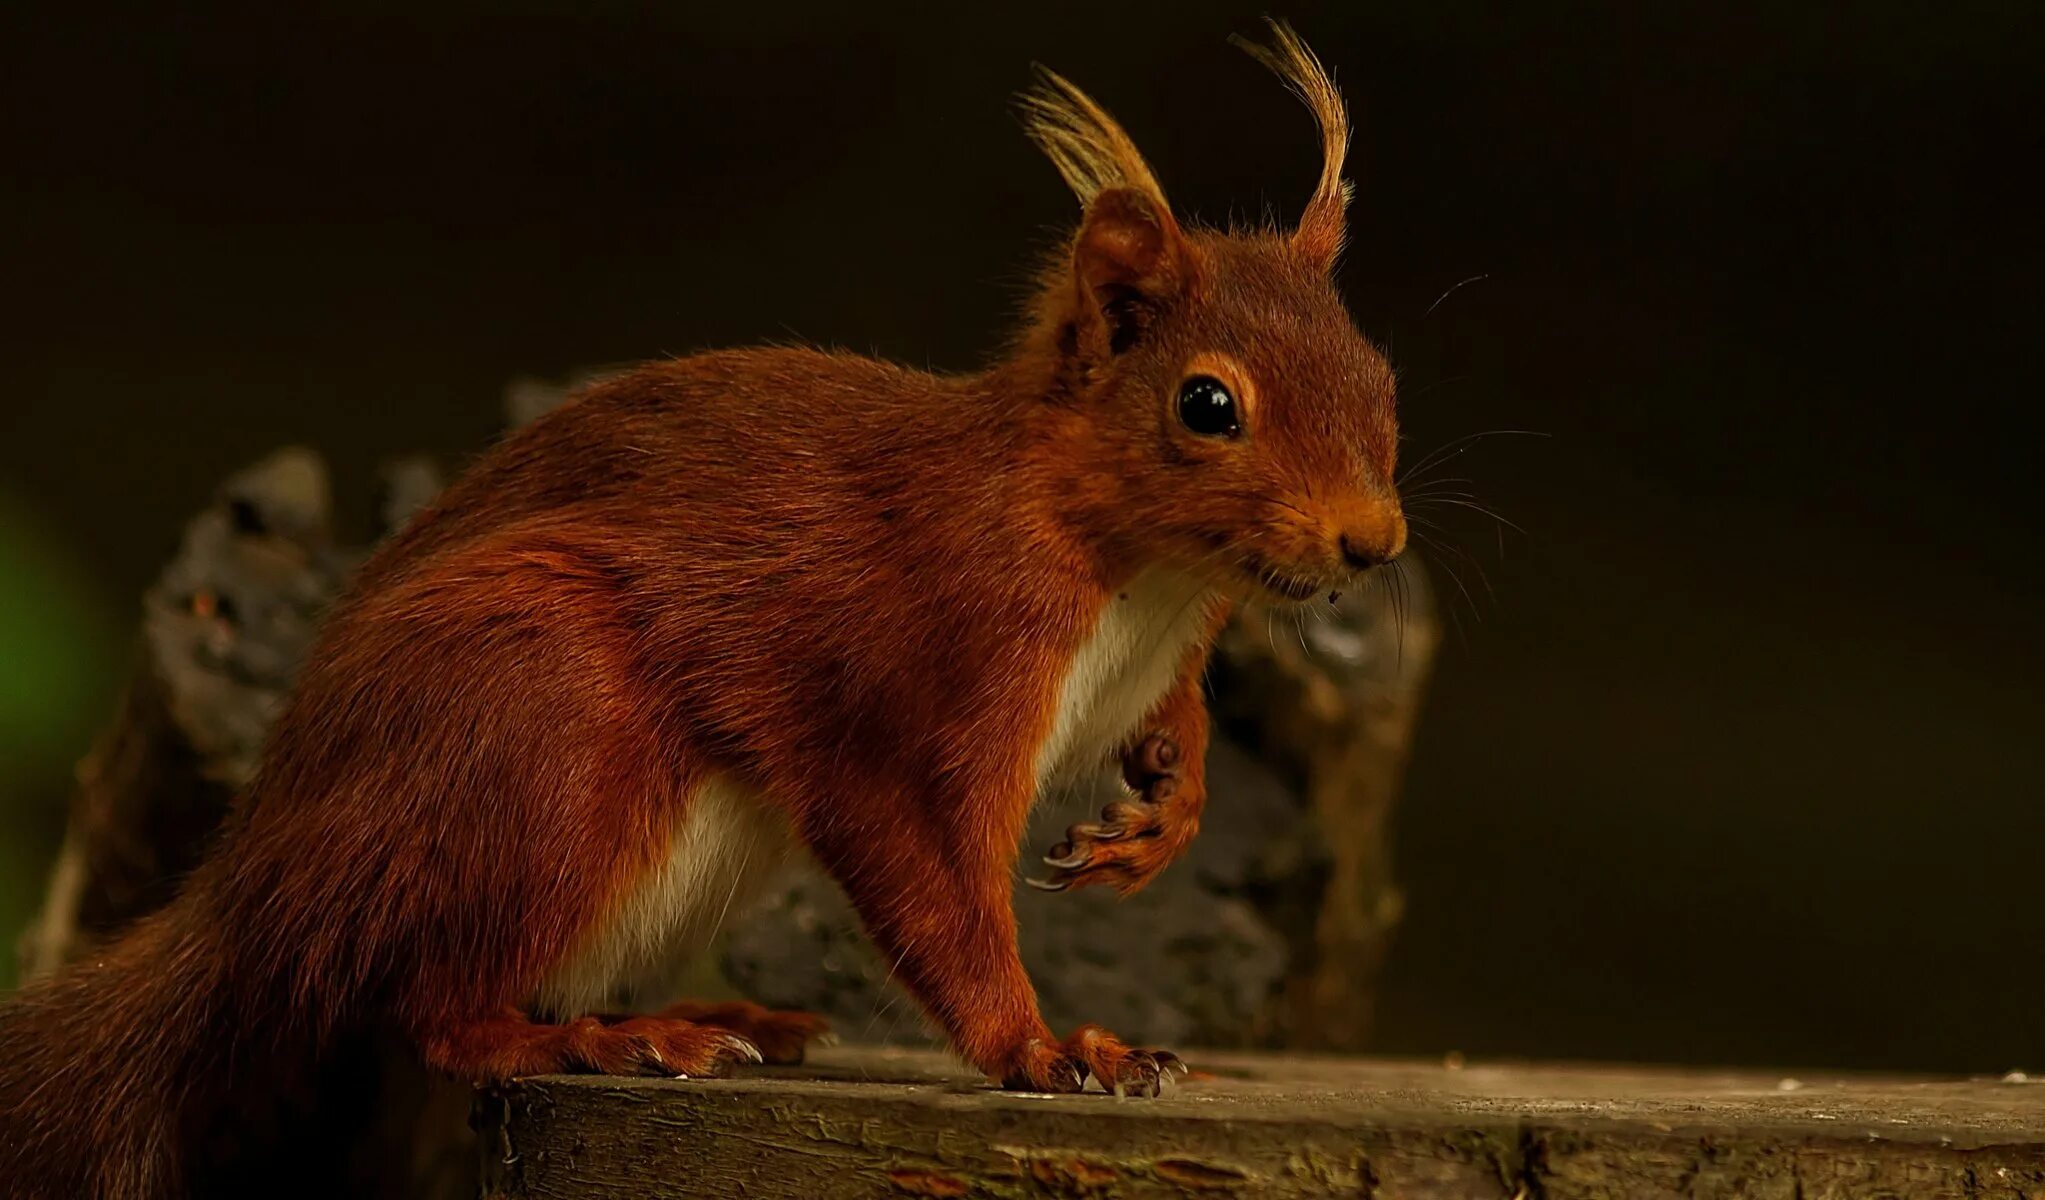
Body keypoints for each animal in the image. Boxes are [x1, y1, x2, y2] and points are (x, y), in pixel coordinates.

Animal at [0, 23, 1406, 1193]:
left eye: (1379, 375)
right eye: (1206, 405)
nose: (1373, 541)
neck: (1143, 577)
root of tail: (257, 886)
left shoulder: (1160, 649)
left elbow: (1176, 732)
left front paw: (1162, 815)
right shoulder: (923, 666)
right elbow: (930, 881)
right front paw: (1047, 1048)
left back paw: (715, 1019)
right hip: (538, 722)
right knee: (436, 1010)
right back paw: (613, 1042)